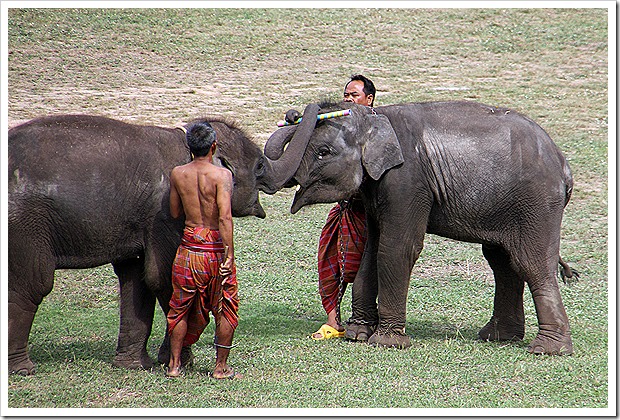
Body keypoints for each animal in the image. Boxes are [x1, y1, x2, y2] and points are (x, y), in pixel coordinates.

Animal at [8, 106, 320, 376]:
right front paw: (182, 362)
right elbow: (163, 277)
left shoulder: (139, 220)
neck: (185, 140)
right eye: (258, 166)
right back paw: (22, 369)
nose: (295, 113)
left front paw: (135, 365)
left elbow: (137, 279)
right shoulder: (164, 216)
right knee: (31, 285)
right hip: (25, 224)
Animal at [268, 101, 580, 354]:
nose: (292, 114)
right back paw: (498, 337)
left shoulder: (407, 180)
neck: (375, 118)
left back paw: (547, 349)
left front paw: (386, 343)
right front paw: (356, 335)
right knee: (502, 262)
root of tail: (564, 167)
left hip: (537, 203)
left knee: (531, 263)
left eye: (324, 152)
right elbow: (371, 249)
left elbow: (397, 248)